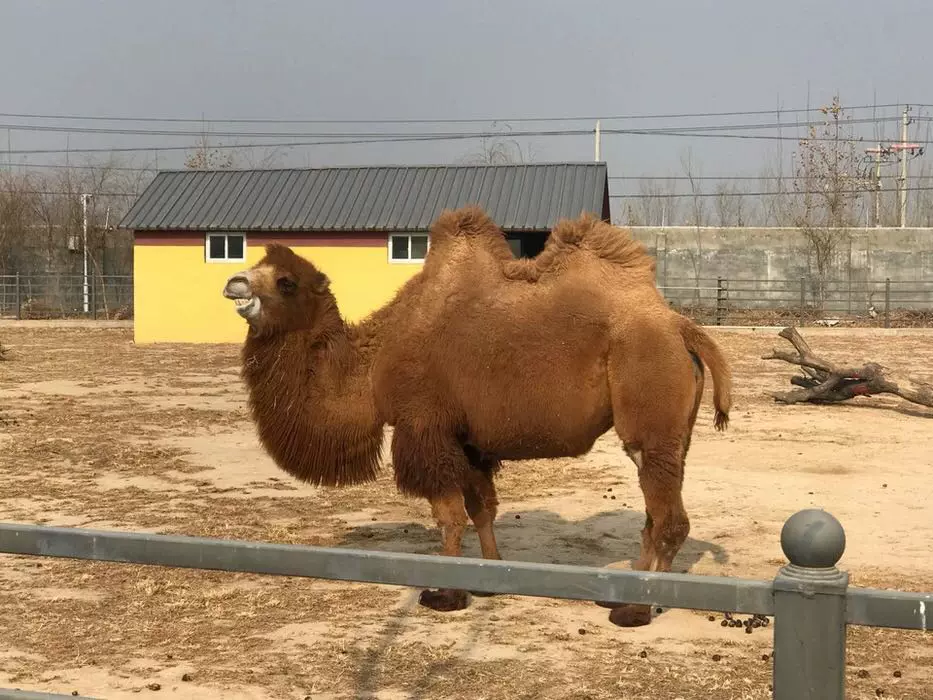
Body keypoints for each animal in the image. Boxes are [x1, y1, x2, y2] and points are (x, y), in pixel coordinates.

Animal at [222, 205, 732, 628]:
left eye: (286, 281)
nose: (234, 284)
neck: (374, 360)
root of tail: (680, 326)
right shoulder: (467, 439)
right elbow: (481, 507)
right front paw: (488, 579)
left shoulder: (424, 426)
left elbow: (448, 517)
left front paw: (446, 594)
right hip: (673, 432)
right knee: (653, 510)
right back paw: (622, 596)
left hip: (649, 408)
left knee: (668, 517)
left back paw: (637, 610)